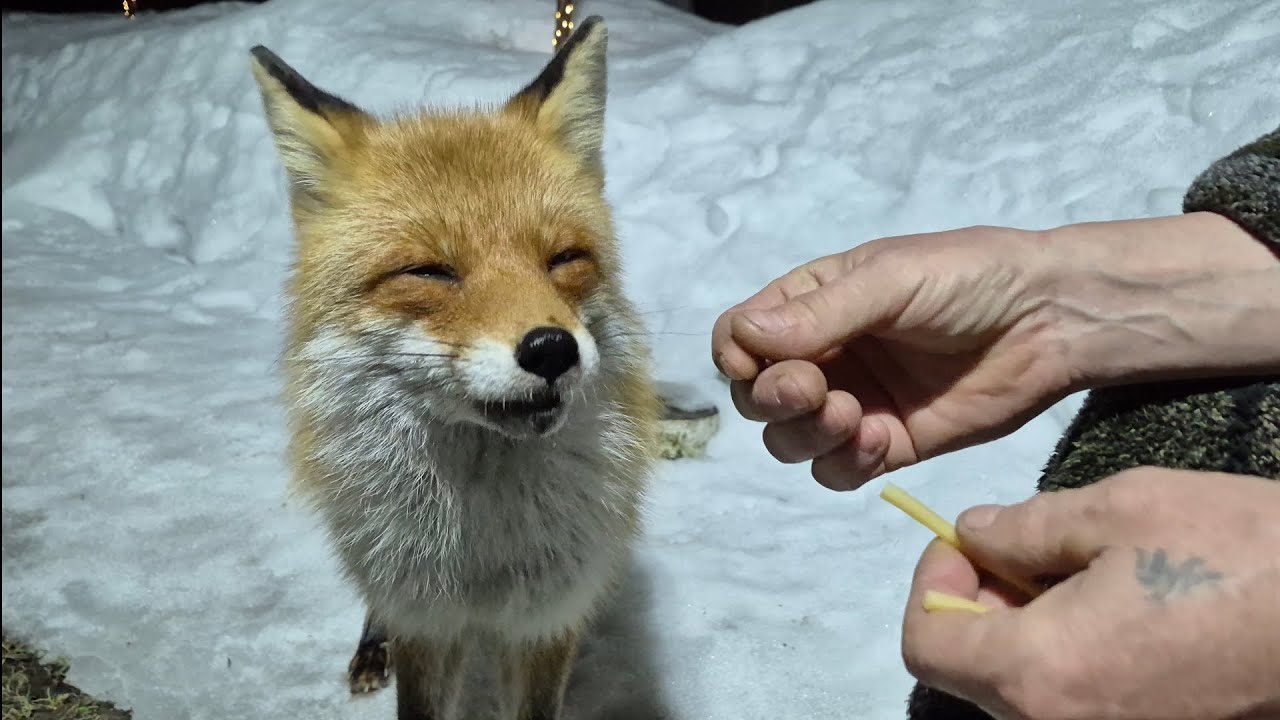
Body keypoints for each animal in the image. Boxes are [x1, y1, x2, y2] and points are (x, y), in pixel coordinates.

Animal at [248, 17, 661, 720]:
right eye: (429, 271)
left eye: (565, 258)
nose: (552, 350)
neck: (483, 552)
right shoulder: (427, 619)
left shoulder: (545, 622)